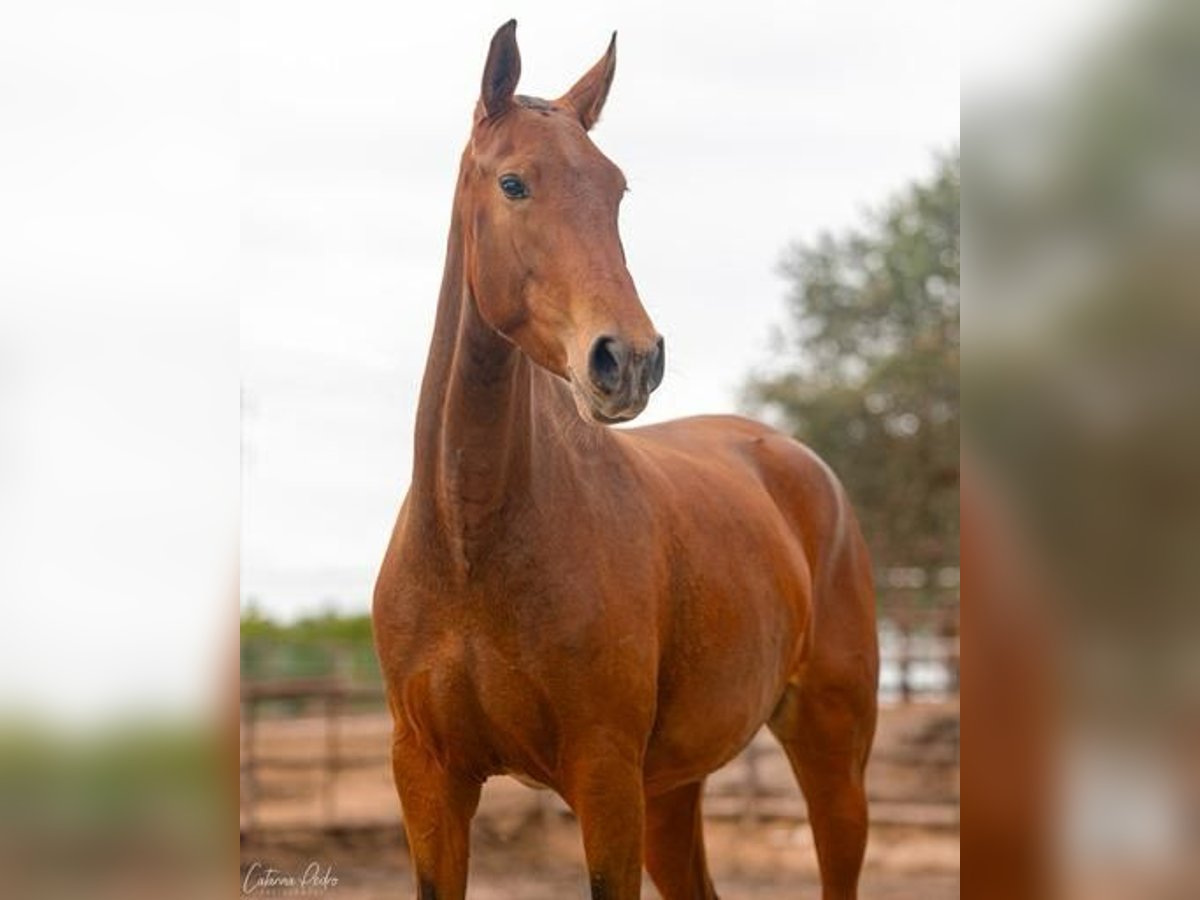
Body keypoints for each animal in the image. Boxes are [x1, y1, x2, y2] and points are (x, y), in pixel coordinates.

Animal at [374, 21, 883, 900]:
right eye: (514, 183)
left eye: (615, 191)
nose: (631, 360)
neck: (472, 550)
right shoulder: (429, 780)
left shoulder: (604, 778)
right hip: (674, 788)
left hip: (830, 753)